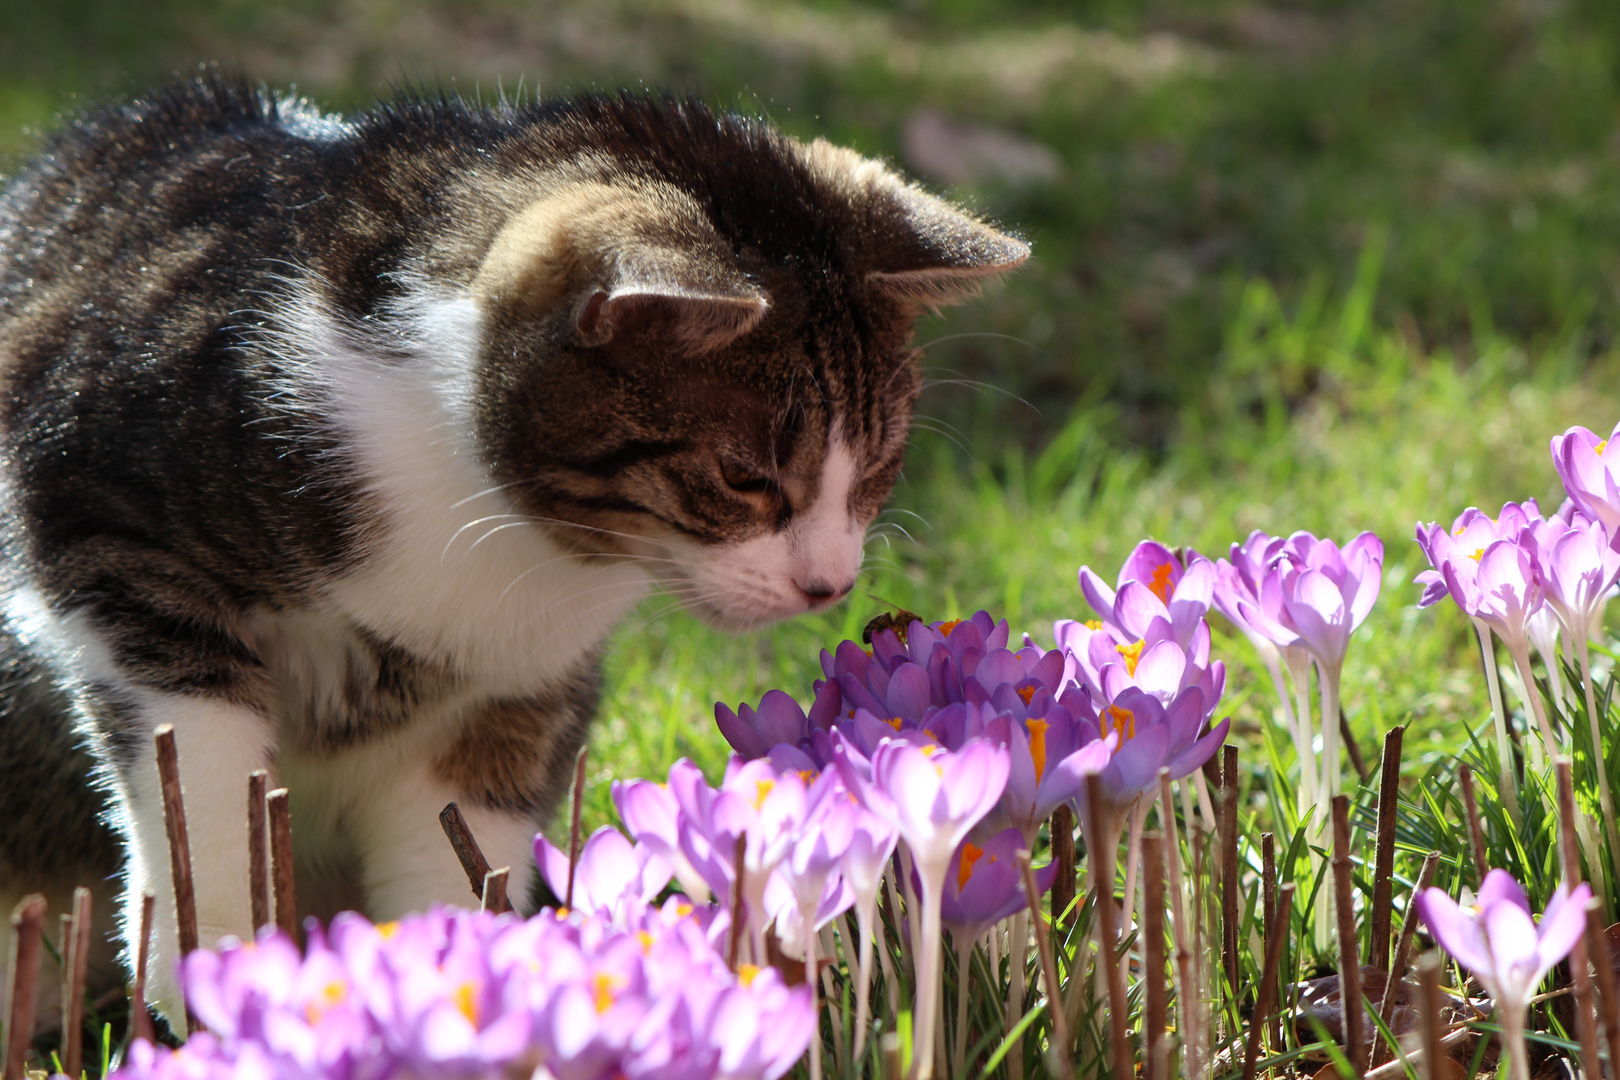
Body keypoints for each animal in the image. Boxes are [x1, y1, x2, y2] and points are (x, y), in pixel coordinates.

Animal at [0, 71, 1023, 1029]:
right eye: (743, 477)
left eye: (878, 465)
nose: (831, 585)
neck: (494, 519)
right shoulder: (106, 526)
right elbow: (201, 771)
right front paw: (216, 961)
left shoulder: (514, 696)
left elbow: (456, 849)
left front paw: (455, 986)